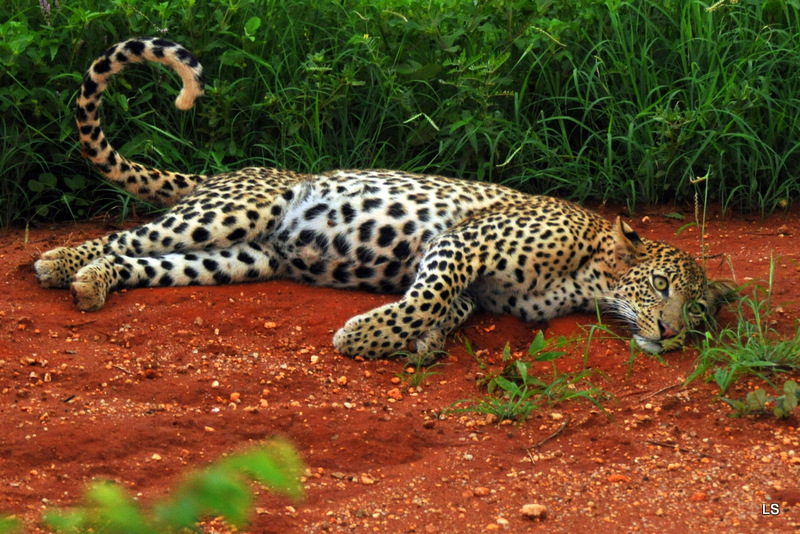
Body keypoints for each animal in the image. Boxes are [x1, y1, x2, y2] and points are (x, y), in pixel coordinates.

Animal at [34, 37, 736, 360]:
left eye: (700, 313)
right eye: (663, 288)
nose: (672, 333)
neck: (588, 279)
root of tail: (237, 171)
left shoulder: (475, 281)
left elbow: (451, 307)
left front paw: (421, 342)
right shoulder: (461, 243)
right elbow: (427, 298)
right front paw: (365, 336)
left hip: (242, 257)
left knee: (142, 261)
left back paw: (95, 283)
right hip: (235, 210)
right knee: (122, 237)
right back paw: (59, 264)